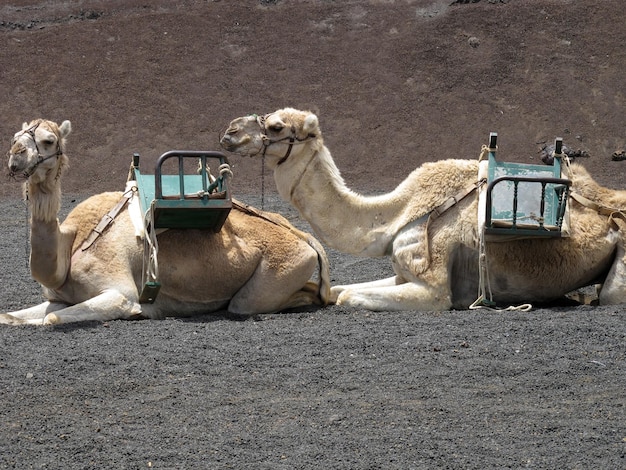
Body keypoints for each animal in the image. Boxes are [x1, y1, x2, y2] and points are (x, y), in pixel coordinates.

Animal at [0, 116, 330, 326]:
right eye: (15, 137)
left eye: (48, 140)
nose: (16, 156)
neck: (72, 245)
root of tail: (305, 238)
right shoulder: (60, 297)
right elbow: (11, 317)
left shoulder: (119, 292)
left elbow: (52, 318)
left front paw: (139, 313)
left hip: (277, 273)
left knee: (272, 300)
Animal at [218, 108, 624, 310]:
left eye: (275, 126)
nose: (229, 133)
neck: (397, 214)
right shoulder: (401, 272)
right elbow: (339, 291)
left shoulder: (433, 285)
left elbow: (347, 297)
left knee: (611, 296)